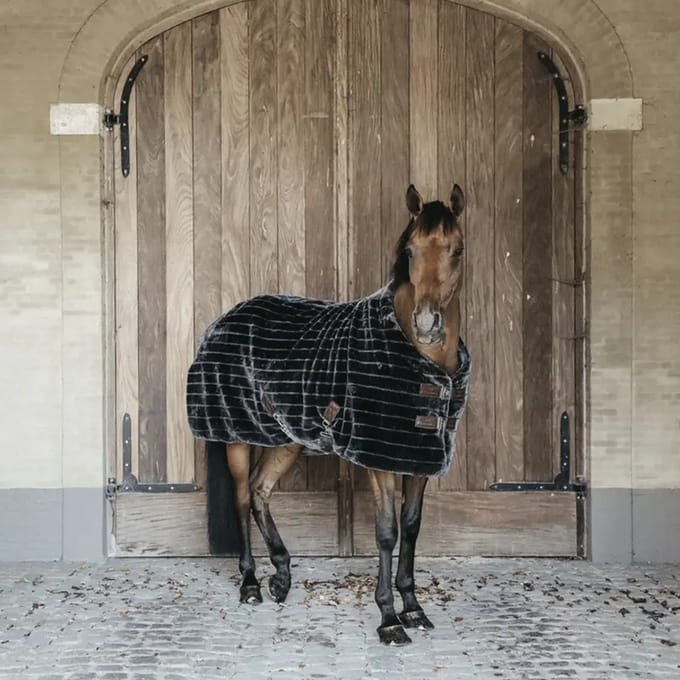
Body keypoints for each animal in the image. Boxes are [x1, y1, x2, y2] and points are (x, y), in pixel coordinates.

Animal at [186, 183, 469, 646]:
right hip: (236, 437)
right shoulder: (378, 460)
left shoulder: (418, 457)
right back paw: (250, 583)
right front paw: (388, 619)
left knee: (261, 493)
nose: (427, 324)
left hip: (285, 439)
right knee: (243, 498)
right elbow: (387, 532)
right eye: (409, 250)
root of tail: (224, 319)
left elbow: (411, 526)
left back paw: (282, 575)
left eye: (457, 250)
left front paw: (413, 608)